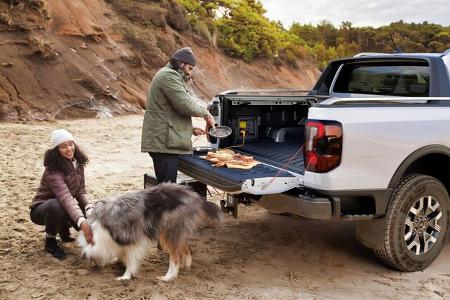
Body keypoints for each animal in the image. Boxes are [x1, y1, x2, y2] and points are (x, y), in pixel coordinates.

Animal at [80, 183, 224, 282]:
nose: (96, 267)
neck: (100, 230)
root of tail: (195, 196)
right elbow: (123, 254)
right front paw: (119, 261)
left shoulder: (132, 241)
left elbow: (131, 260)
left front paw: (125, 276)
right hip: (177, 232)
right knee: (187, 248)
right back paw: (186, 266)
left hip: (168, 233)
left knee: (175, 258)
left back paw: (168, 277)